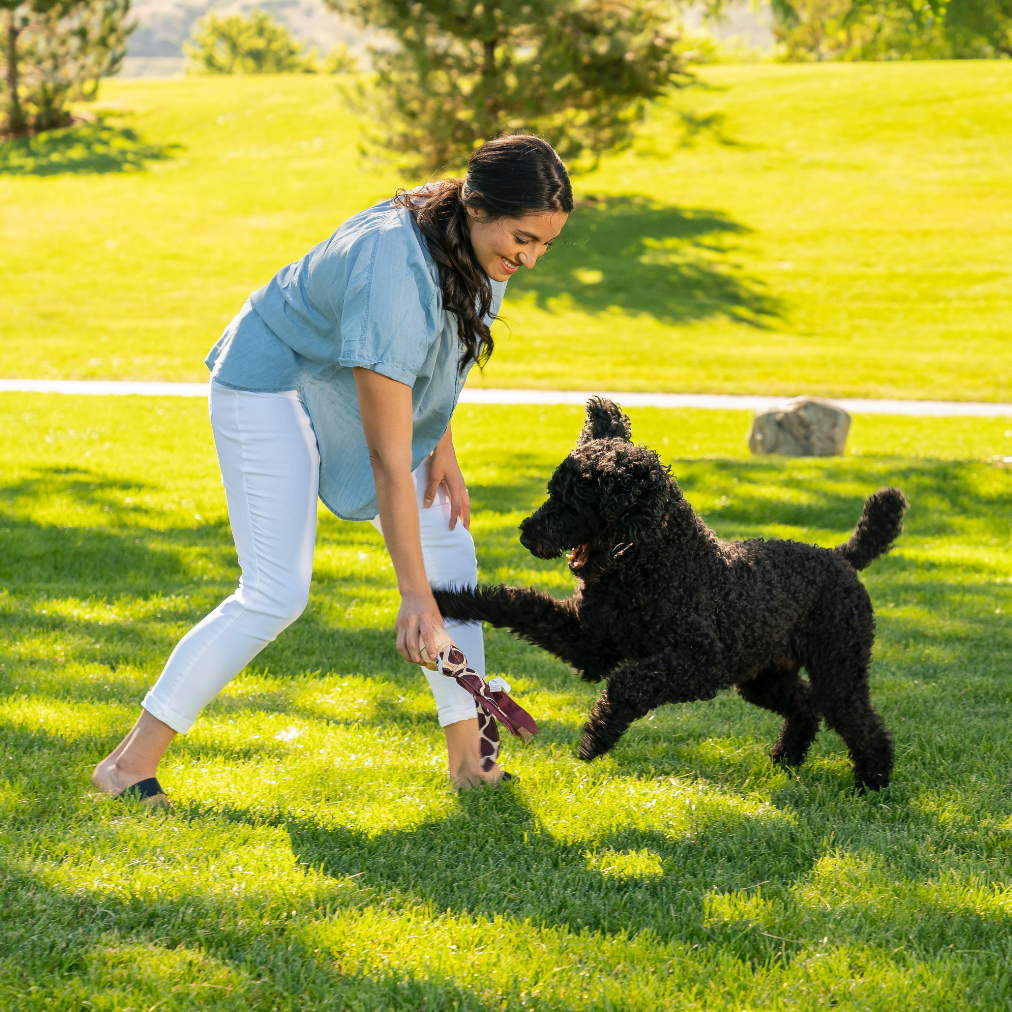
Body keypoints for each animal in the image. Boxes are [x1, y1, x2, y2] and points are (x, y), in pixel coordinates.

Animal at [437, 398, 910, 793]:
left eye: (573, 501)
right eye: (555, 492)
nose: (527, 534)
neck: (651, 566)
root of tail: (840, 556)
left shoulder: (702, 662)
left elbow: (630, 681)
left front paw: (597, 737)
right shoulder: (587, 644)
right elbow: (515, 604)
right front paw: (448, 600)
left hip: (838, 665)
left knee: (860, 720)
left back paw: (873, 781)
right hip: (764, 675)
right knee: (807, 706)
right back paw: (786, 759)